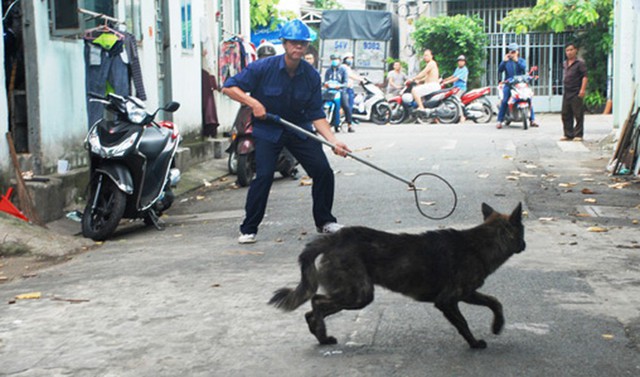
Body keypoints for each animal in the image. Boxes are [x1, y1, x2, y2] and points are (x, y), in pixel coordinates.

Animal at [270, 201, 524, 348]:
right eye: (522, 232)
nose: (524, 245)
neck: (480, 244)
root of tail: (334, 238)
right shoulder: (448, 300)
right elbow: (463, 322)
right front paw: (474, 343)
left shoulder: (468, 294)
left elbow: (495, 302)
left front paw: (497, 326)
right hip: (359, 294)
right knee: (317, 301)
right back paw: (321, 333)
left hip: (354, 294)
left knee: (312, 309)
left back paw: (319, 334)